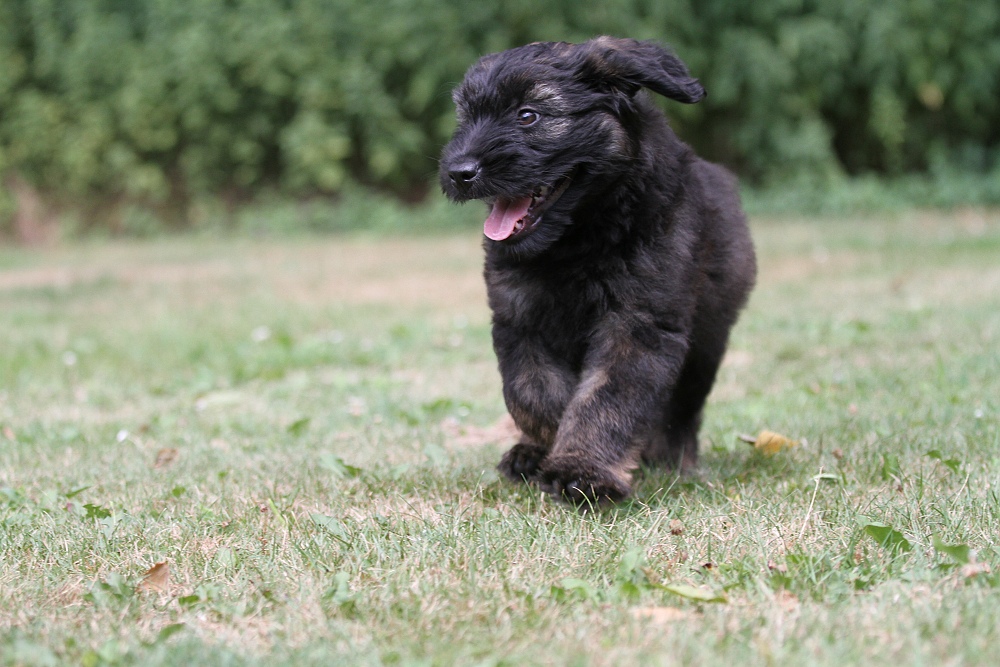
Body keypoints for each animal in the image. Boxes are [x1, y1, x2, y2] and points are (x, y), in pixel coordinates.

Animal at [440, 36, 756, 504]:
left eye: (528, 115)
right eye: (466, 116)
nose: (459, 172)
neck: (578, 242)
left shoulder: (638, 324)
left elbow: (606, 399)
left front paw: (582, 469)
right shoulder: (519, 318)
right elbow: (532, 393)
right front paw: (542, 448)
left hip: (707, 342)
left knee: (683, 409)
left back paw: (672, 458)